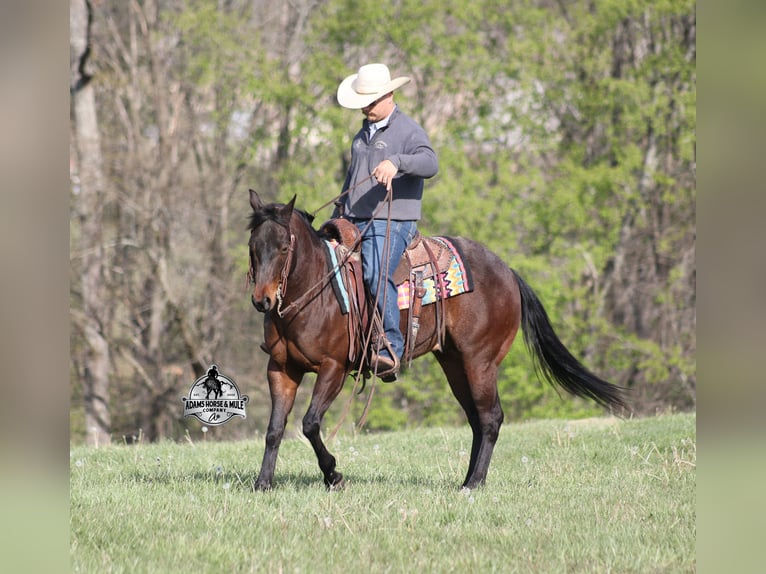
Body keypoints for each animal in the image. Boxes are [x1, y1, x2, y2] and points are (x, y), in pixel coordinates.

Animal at [246, 191, 627, 491]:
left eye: (284, 247)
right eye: (253, 247)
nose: (262, 300)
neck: (317, 291)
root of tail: (508, 271)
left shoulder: (333, 368)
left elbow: (310, 424)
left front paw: (333, 475)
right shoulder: (281, 369)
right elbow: (274, 428)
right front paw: (263, 483)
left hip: (480, 361)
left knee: (491, 417)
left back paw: (475, 483)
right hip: (456, 364)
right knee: (476, 419)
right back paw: (468, 478)